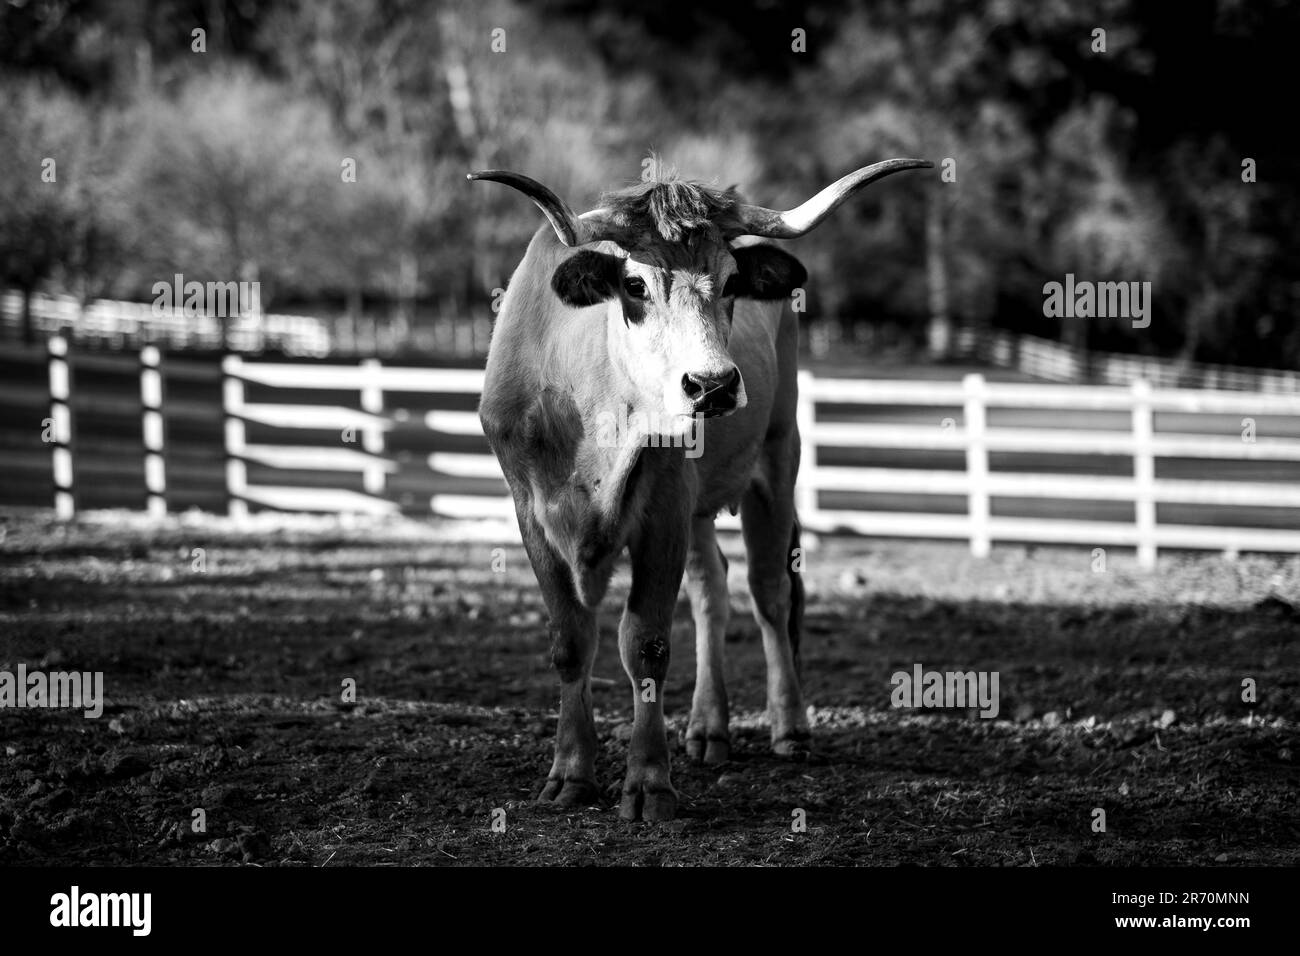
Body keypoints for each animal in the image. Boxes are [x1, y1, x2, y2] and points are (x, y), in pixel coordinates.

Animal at [472, 158, 931, 821]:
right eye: (635, 284)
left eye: (732, 281)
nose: (712, 384)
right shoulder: (531, 513)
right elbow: (571, 640)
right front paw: (570, 773)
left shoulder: (663, 505)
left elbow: (646, 644)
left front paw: (648, 784)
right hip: (697, 510)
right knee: (711, 587)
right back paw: (708, 729)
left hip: (778, 455)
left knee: (768, 590)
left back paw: (789, 728)